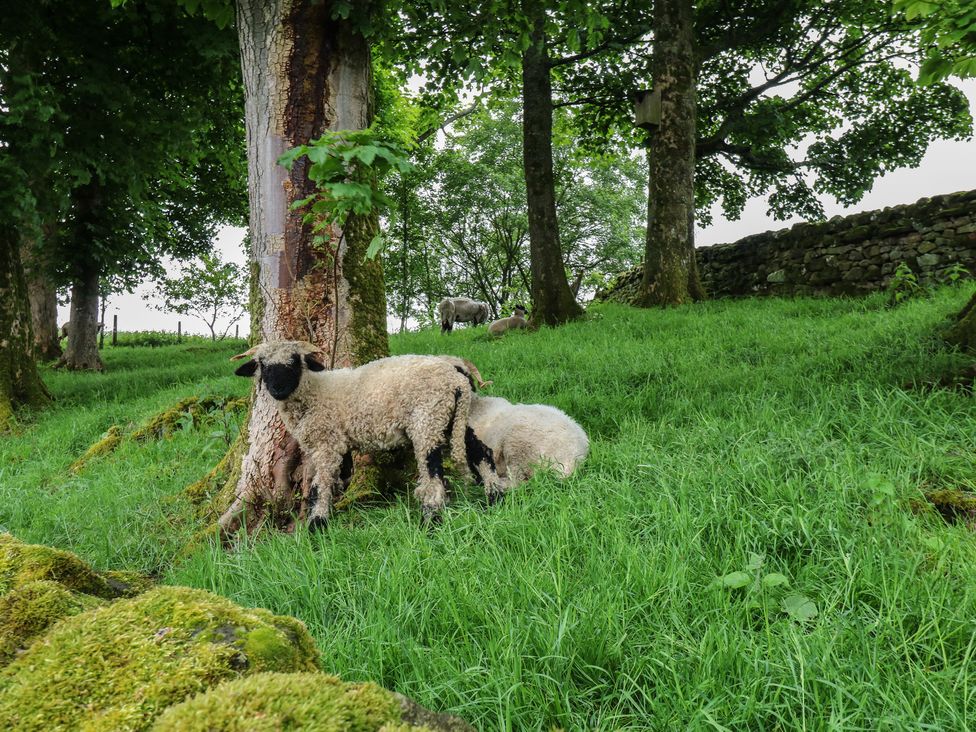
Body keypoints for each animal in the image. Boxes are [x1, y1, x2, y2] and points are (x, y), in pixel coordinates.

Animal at [231, 341, 504, 529]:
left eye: (295, 362)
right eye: (262, 365)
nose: (277, 388)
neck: (314, 393)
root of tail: (455, 377)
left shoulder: (327, 443)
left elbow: (320, 485)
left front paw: (316, 524)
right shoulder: (336, 443)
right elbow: (338, 479)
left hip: (427, 419)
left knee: (433, 476)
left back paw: (430, 522)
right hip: (453, 419)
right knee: (481, 451)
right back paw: (495, 498)